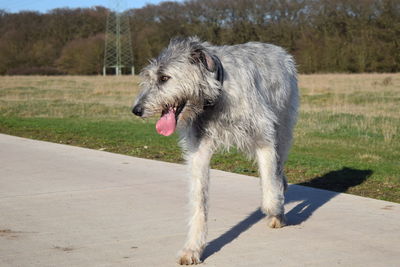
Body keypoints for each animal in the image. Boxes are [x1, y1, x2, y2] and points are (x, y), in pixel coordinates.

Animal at [133, 36, 298, 264]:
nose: (136, 110)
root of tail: (280, 50)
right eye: (149, 78)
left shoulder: (263, 135)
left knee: (277, 166)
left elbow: (269, 187)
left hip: (283, 128)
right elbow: (199, 201)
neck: (215, 97)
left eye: (164, 78)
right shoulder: (198, 151)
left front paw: (275, 207)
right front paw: (193, 248)